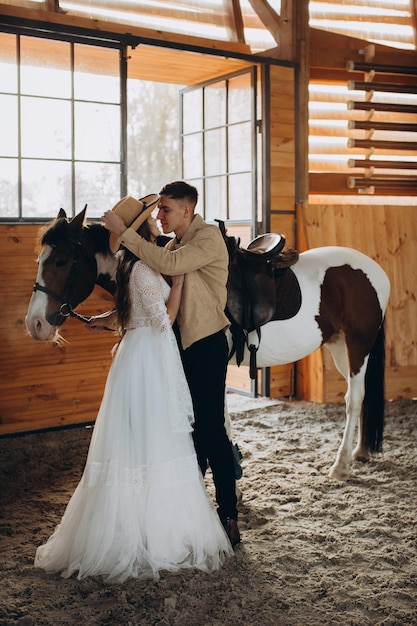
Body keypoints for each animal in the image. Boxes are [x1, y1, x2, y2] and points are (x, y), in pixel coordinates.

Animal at [26, 207, 390, 480]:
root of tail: (376, 271)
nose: (36, 324)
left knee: (354, 398)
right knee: (359, 394)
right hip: (339, 345)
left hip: (358, 344)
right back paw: (359, 451)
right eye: (40, 260)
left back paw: (341, 464)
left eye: (61, 261)